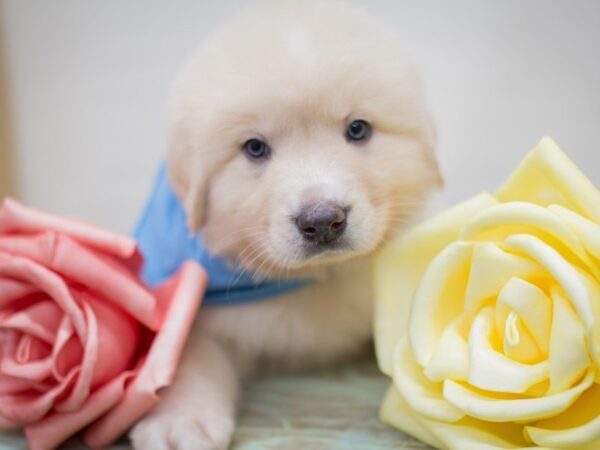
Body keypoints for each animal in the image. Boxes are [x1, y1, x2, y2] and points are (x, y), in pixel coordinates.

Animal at [130, 0, 440, 450]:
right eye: (255, 148)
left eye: (358, 129)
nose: (324, 221)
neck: (315, 278)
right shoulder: (201, 302)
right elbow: (186, 350)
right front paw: (179, 420)